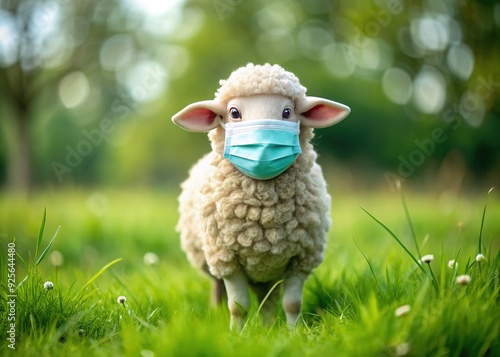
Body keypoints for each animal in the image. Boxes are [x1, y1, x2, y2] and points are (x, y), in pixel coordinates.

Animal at [172, 62, 352, 328]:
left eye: (287, 112)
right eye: (234, 112)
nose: (264, 146)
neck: (264, 214)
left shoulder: (301, 258)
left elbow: (292, 304)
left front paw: (294, 333)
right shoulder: (228, 259)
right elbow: (238, 306)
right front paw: (236, 333)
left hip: (268, 268)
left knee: (267, 300)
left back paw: (267, 328)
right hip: (212, 259)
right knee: (218, 288)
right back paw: (216, 314)